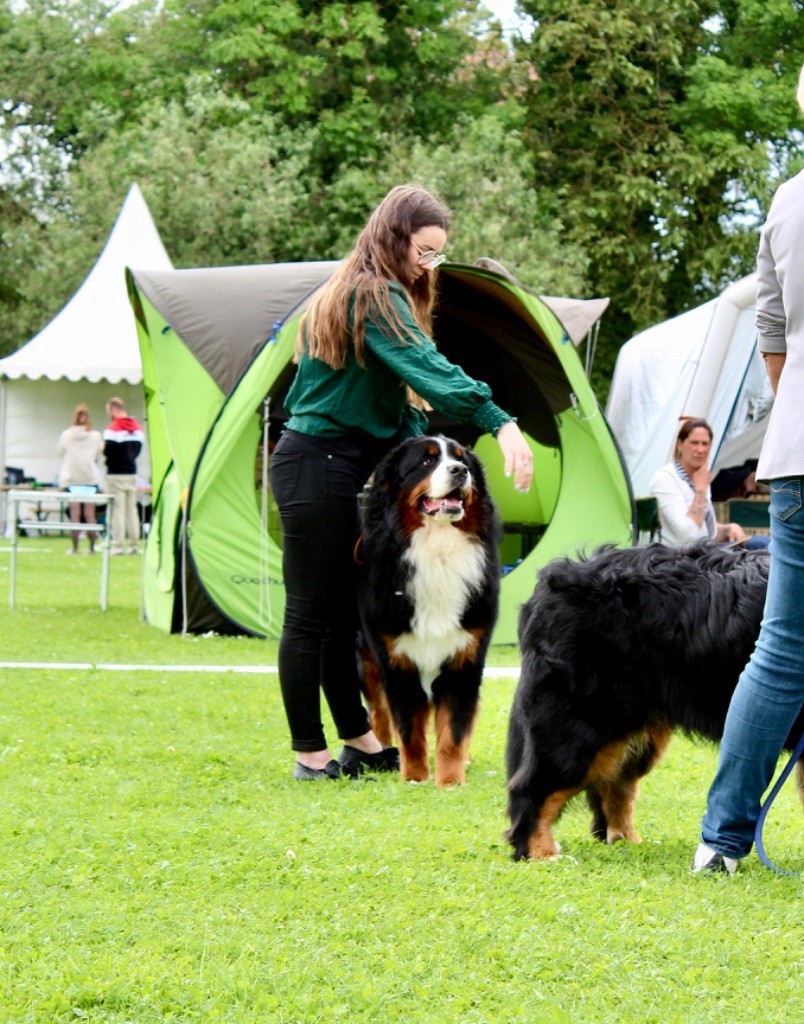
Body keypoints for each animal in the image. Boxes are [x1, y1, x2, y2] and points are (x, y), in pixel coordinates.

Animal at [358, 434, 501, 782]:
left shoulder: (465, 658)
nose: (460, 471)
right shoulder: (396, 659)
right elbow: (409, 729)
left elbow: (454, 731)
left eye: (461, 458)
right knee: (379, 713)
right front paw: (414, 777)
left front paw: (450, 781)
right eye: (427, 461)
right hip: (367, 661)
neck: (438, 552)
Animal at [508, 540, 802, 860]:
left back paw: (626, 841)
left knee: (615, 785)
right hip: (582, 721)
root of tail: (552, 581)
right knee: (533, 787)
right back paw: (542, 853)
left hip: (634, 728)